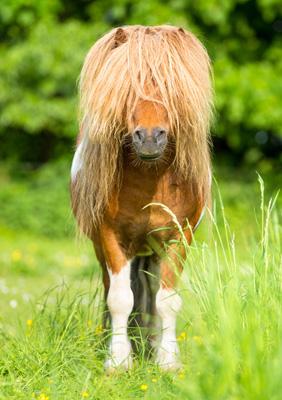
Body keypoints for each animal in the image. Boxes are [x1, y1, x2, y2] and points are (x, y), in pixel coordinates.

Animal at [71, 25, 214, 370]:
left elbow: (167, 300)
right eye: (126, 89)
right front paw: (118, 361)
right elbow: (120, 299)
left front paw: (168, 361)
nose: (149, 138)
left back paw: (150, 344)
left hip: (153, 250)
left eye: (171, 88)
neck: (150, 179)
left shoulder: (179, 238)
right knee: (113, 288)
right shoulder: (111, 236)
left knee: (151, 290)